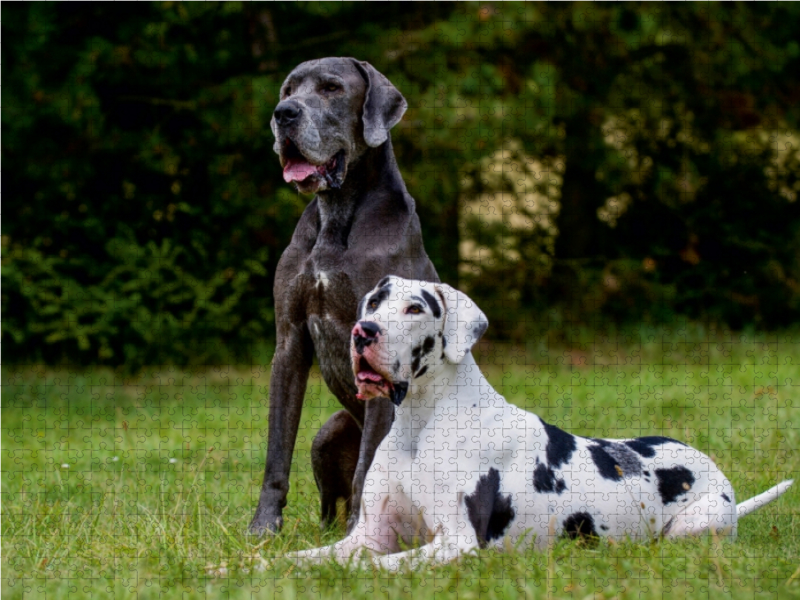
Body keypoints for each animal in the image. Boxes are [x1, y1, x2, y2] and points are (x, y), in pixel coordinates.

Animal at [248, 57, 438, 536]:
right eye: (289, 89)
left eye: (332, 88)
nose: (283, 114)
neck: (335, 214)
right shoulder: (290, 340)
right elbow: (277, 448)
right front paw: (263, 525)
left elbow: (368, 464)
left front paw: (361, 531)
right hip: (328, 433)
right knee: (327, 504)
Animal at [294, 276, 792, 568]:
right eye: (373, 304)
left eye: (415, 309)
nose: (364, 332)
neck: (421, 422)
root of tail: (715, 468)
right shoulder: (368, 536)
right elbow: (306, 558)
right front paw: (277, 567)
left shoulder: (457, 543)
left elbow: (373, 566)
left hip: (695, 526)